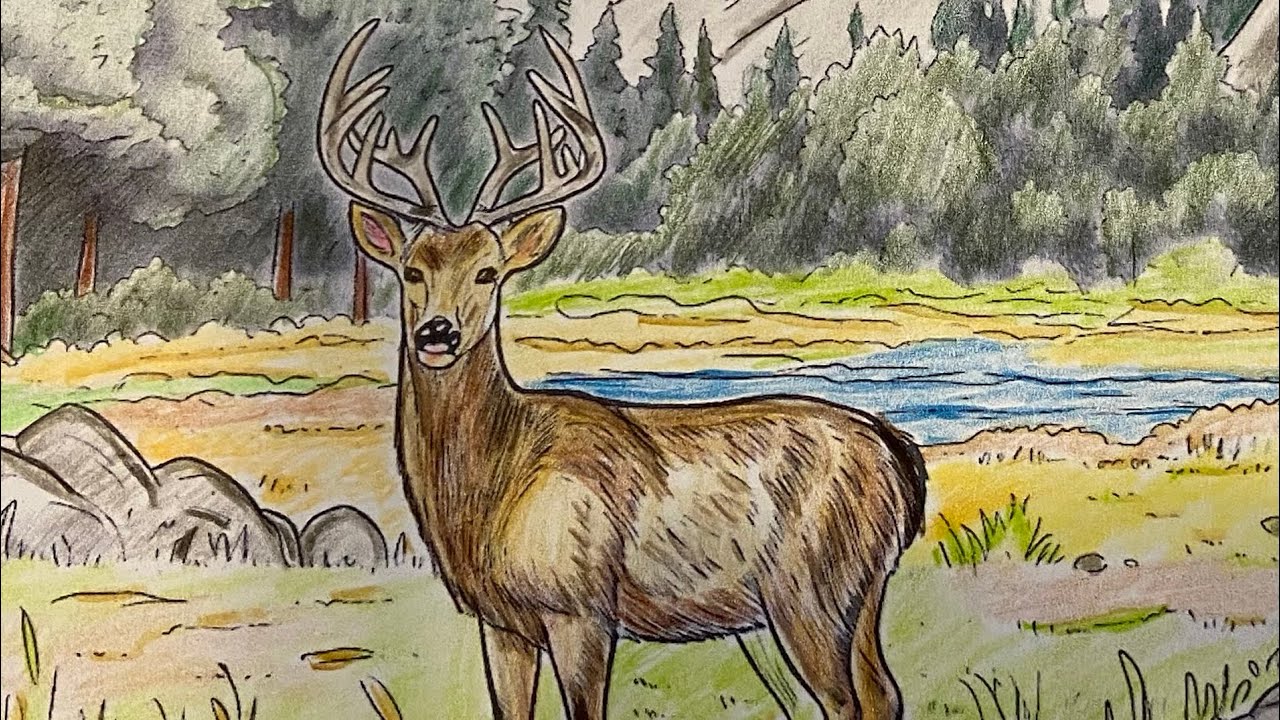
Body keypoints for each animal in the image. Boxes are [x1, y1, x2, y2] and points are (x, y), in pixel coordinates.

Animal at [317, 19, 928, 720]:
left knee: (849, 701)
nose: (437, 332)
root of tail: (896, 453)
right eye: (412, 271)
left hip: (811, 587)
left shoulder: (580, 605)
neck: (493, 487)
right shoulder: (500, 621)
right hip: (862, 590)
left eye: (489, 272)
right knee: (886, 694)